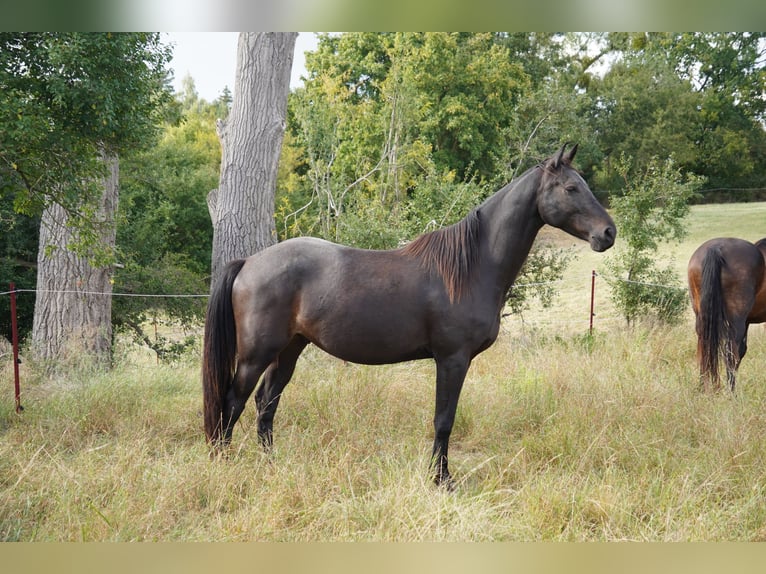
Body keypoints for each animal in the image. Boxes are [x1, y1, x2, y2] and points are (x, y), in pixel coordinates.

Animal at [201, 143, 616, 486]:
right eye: (571, 188)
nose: (608, 233)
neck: (471, 267)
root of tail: (249, 262)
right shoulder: (452, 359)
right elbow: (444, 421)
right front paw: (442, 481)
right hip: (256, 355)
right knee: (233, 401)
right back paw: (223, 466)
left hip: (289, 349)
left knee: (266, 402)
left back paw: (271, 465)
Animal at [688, 237, 766, 392]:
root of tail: (716, 248)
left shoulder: (748, 322)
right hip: (735, 322)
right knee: (730, 356)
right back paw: (731, 393)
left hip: (702, 318)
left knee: (704, 351)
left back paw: (703, 388)